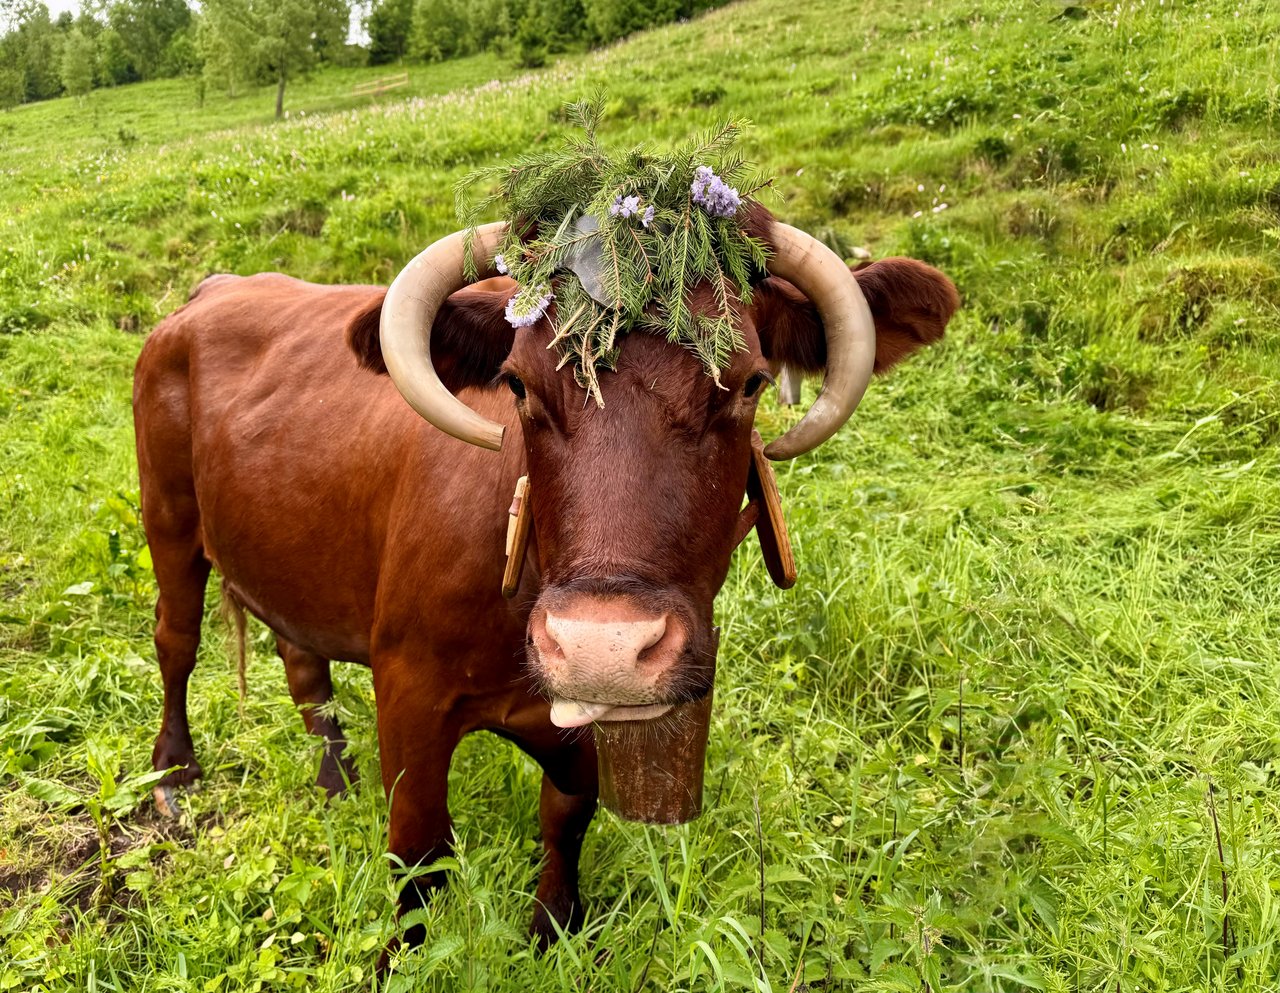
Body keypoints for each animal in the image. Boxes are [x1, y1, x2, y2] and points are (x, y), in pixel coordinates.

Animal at [132, 205, 958, 954]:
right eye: (518, 385)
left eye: (750, 382)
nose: (602, 647)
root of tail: (214, 289)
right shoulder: (409, 690)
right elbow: (419, 852)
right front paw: (404, 955)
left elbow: (567, 817)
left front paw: (554, 925)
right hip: (167, 517)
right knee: (176, 640)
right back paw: (173, 770)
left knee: (303, 665)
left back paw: (337, 786)